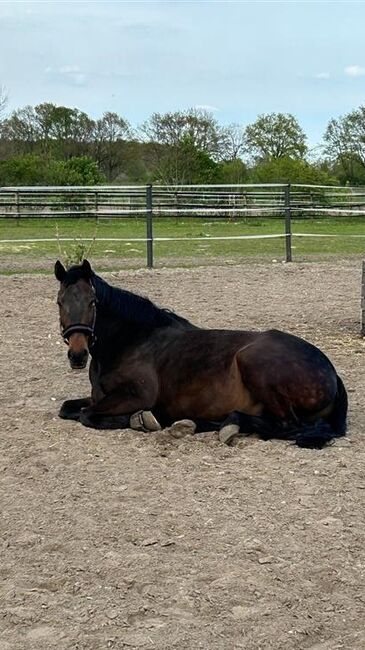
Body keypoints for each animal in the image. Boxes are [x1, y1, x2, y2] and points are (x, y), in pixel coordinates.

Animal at [54, 256, 346, 446]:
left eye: (92, 302)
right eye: (59, 302)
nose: (78, 355)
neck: (131, 342)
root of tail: (331, 373)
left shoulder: (136, 396)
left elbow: (88, 415)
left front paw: (145, 419)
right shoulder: (99, 395)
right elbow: (68, 408)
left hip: (254, 364)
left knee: (287, 426)